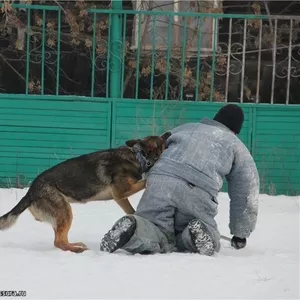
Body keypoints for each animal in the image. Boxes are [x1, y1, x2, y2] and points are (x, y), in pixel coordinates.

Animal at [0, 132, 171, 252]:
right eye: (161, 142)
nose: (169, 132)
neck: (138, 156)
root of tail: (30, 192)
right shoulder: (121, 193)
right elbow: (145, 182)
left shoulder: (120, 197)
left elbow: (131, 209)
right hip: (65, 211)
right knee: (59, 242)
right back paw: (77, 250)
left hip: (61, 214)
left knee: (60, 240)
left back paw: (75, 245)